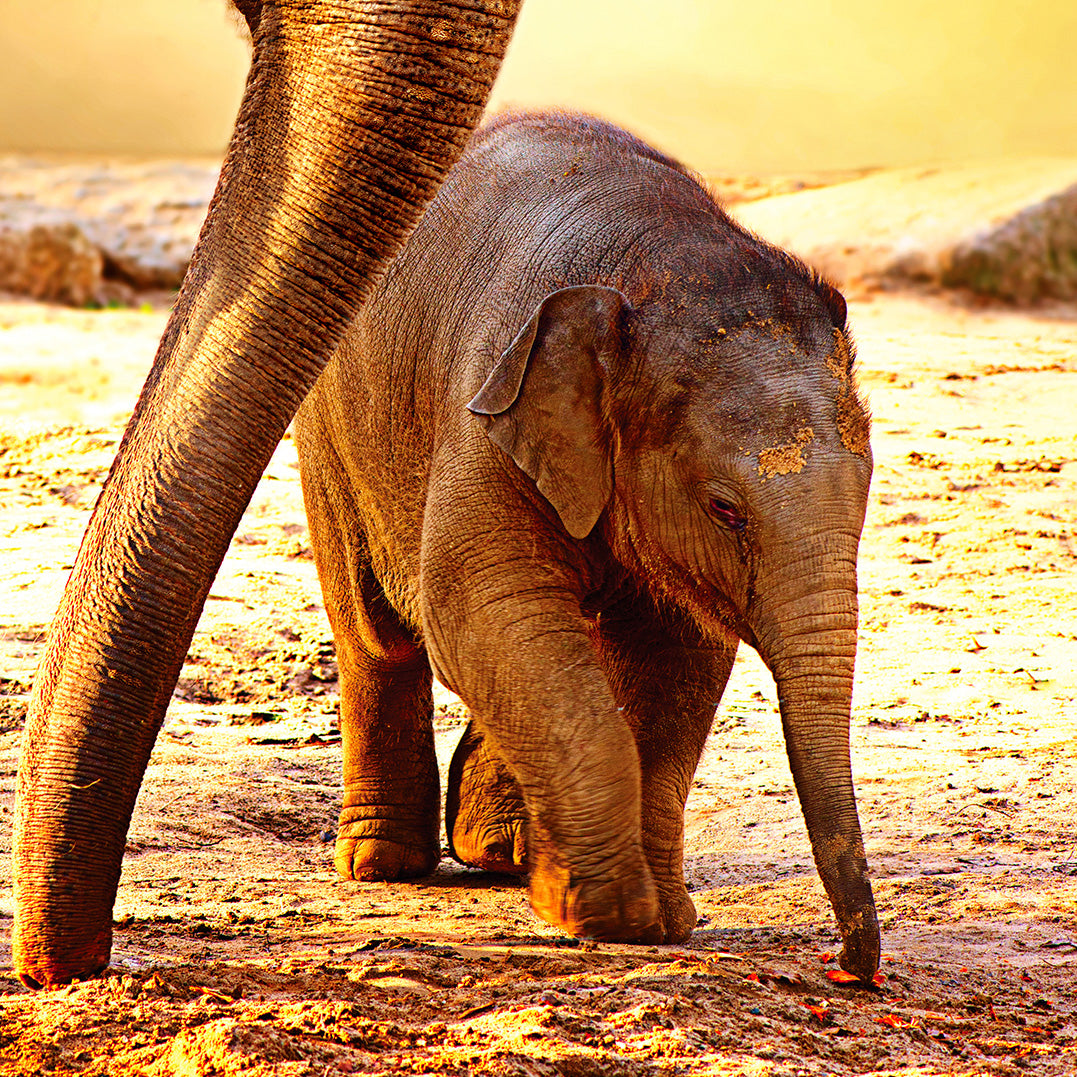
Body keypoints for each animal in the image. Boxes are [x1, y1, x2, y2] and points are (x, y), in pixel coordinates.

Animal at [292, 110, 881, 980]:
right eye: (725, 510)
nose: (848, 963)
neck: (656, 259)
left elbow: (676, 659)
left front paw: (657, 917)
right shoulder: (488, 405)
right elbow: (477, 606)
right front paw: (605, 912)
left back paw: (500, 849)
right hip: (333, 421)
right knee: (375, 629)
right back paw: (381, 862)